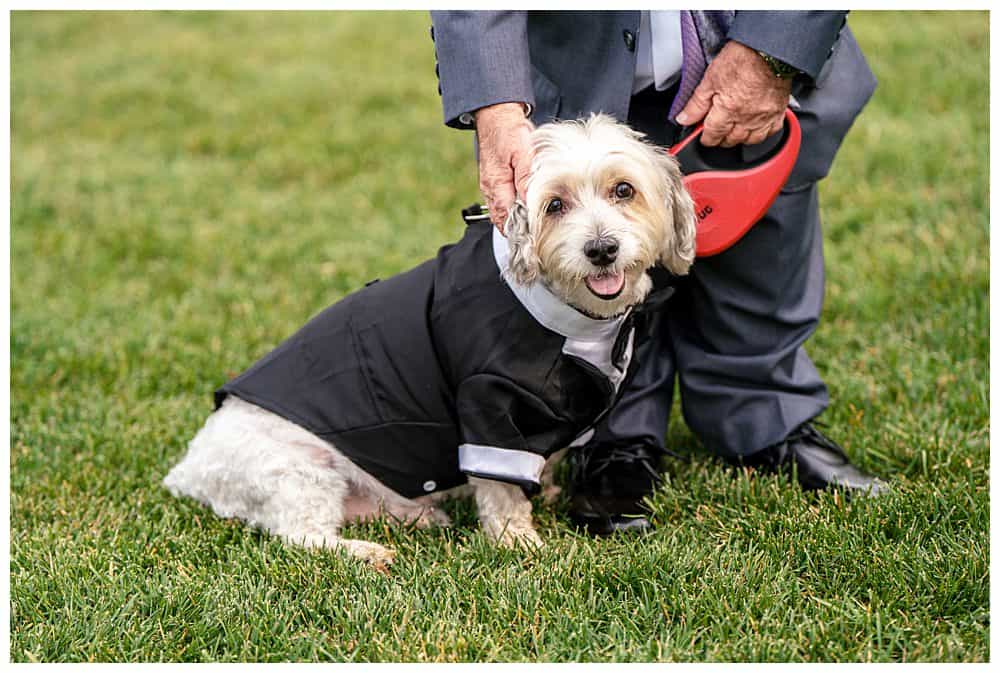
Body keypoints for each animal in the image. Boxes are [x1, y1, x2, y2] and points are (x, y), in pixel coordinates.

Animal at [164, 114, 696, 560]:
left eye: (624, 190)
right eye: (555, 205)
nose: (602, 249)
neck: (569, 317)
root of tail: (190, 470)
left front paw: (543, 490)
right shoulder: (487, 405)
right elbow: (500, 488)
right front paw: (517, 539)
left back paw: (418, 516)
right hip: (298, 469)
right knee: (302, 537)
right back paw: (365, 553)